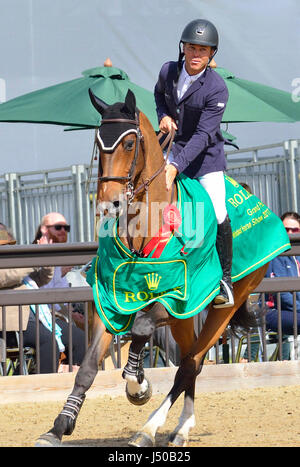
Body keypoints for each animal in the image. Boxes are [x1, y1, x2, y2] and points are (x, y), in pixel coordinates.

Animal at [35, 88, 268, 450]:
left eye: (130, 143)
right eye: (98, 143)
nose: (109, 203)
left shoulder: (175, 299)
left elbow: (142, 328)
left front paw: (138, 385)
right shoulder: (112, 301)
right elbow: (88, 367)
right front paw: (59, 426)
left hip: (221, 306)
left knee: (190, 364)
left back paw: (149, 430)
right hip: (184, 320)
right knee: (189, 360)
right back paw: (181, 428)